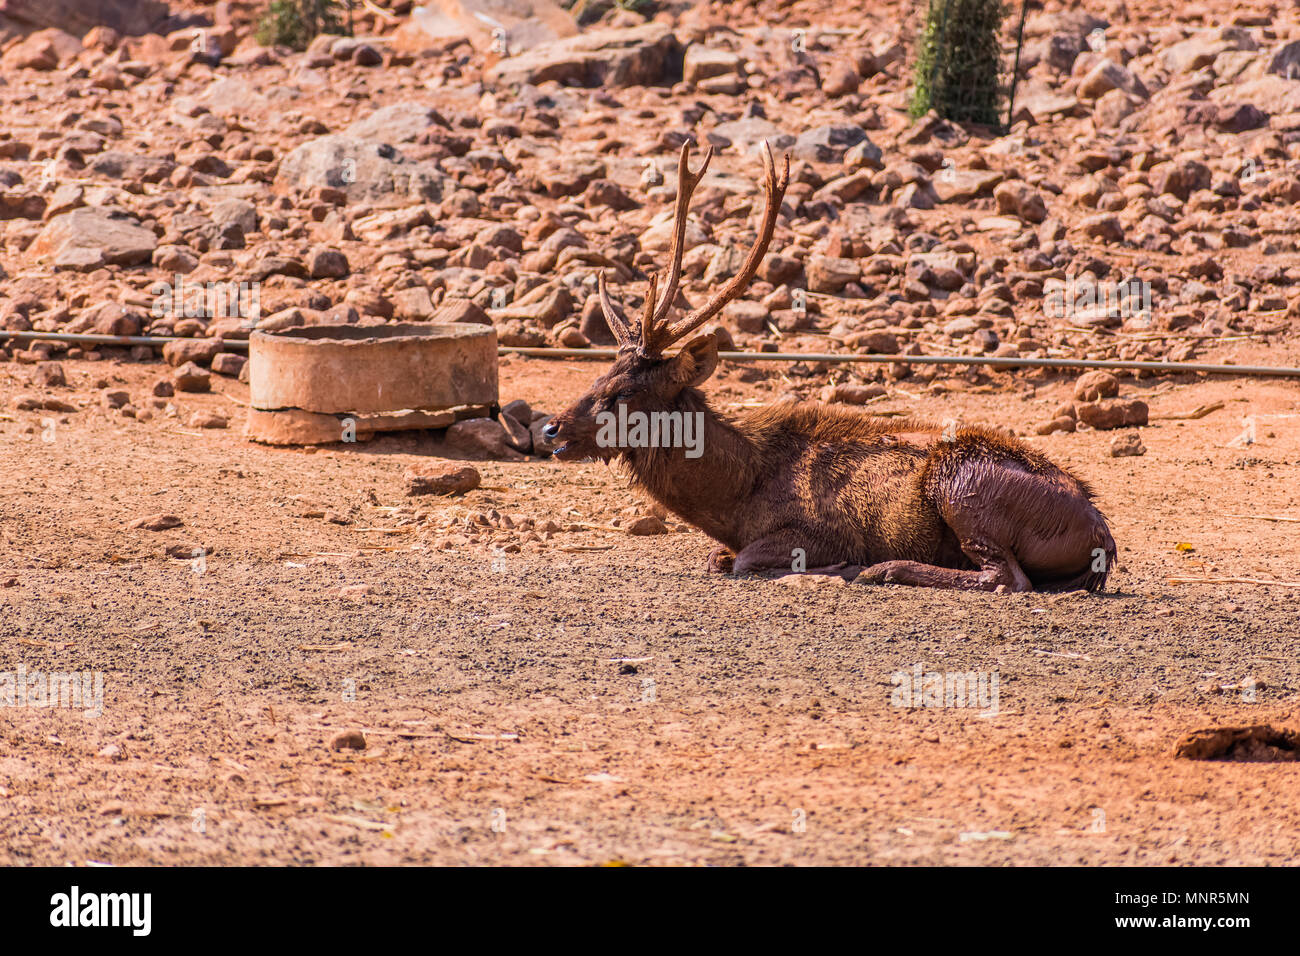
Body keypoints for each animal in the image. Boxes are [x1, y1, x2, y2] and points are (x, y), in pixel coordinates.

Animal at [538, 143, 1118, 590]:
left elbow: (744, 561)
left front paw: (836, 566)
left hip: (965, 486)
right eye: (597, 376)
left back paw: (882, 569)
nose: (551, 427)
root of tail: (1102, 538)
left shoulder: (819, 530)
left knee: (1006, 578)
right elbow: (717, 558)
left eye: (625, 392)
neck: (736, 499)